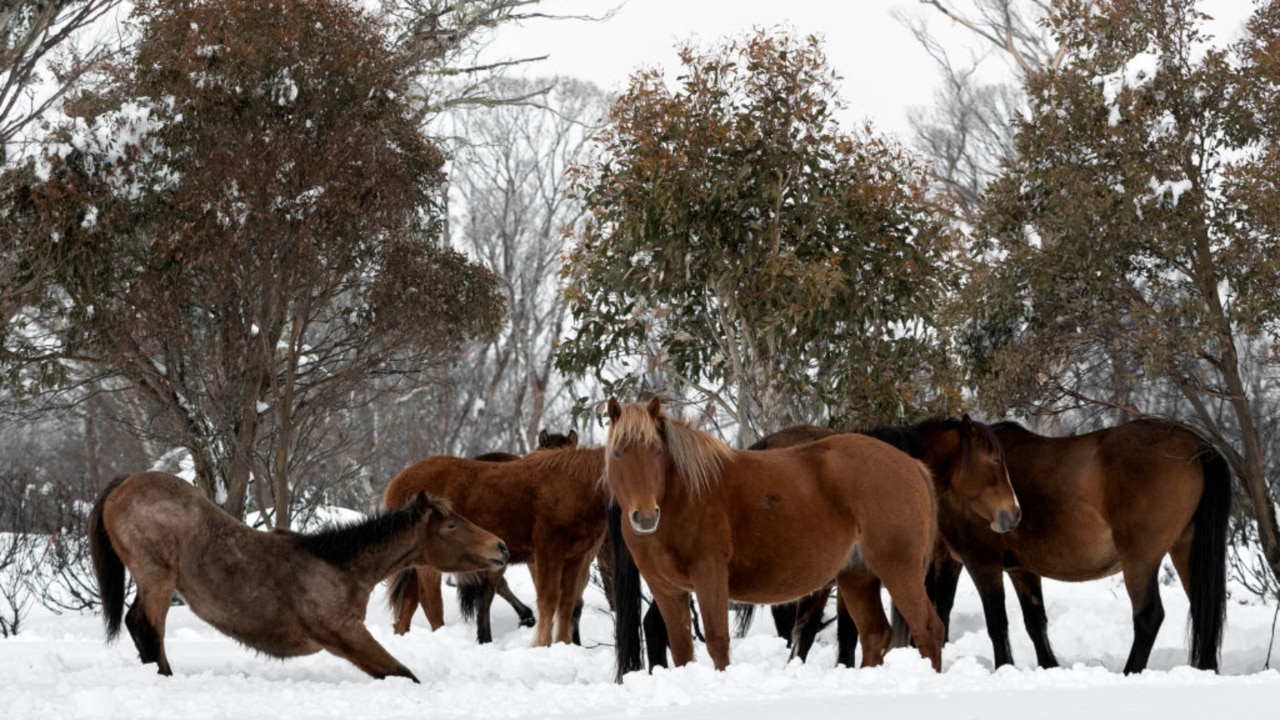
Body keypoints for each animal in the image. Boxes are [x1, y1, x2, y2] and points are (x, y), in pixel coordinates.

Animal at [87, 471, 506, 676]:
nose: (500, 547)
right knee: (147, 627)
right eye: (450, 525)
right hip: (156, 577)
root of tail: (124, 485)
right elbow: (401, 673)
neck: (338, 567)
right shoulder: (346, 635)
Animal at [381, 443, 606, 645]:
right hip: (429, 565)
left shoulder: (576, 557)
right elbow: (549, 600)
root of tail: (396, 483)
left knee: (407, 609)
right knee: (431, 605)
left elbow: (567, 602)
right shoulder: (547, 554)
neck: (576, 486)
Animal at [921, 415, 1228, 671]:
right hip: (1185, 551)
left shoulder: (981, 563)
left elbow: (994, 623)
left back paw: (1130, 671)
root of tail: (1198, 445)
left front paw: (1004, 668)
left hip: (1140, 560)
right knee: (1203, 610)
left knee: (1149, 617)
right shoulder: (1022, 569)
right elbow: (1035, 622)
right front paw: (1049, 666)